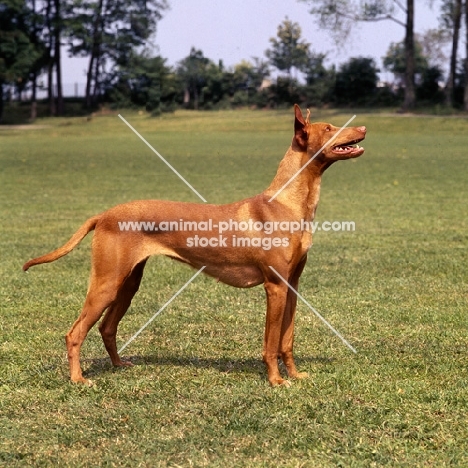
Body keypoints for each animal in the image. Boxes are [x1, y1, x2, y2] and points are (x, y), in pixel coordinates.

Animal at [22, 106, 366, 388]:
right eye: (329, 128)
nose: (363, 127)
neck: (287, 203)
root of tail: (104, 214)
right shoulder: (275, 286)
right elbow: (270, 344)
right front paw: (276, 380)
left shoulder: (292, 284)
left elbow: (287, 340)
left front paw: (294, 374)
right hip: (107, 283)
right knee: (75, 333)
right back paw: (78, 379)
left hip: (128, 283)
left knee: (107, 327)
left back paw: (119, 364)